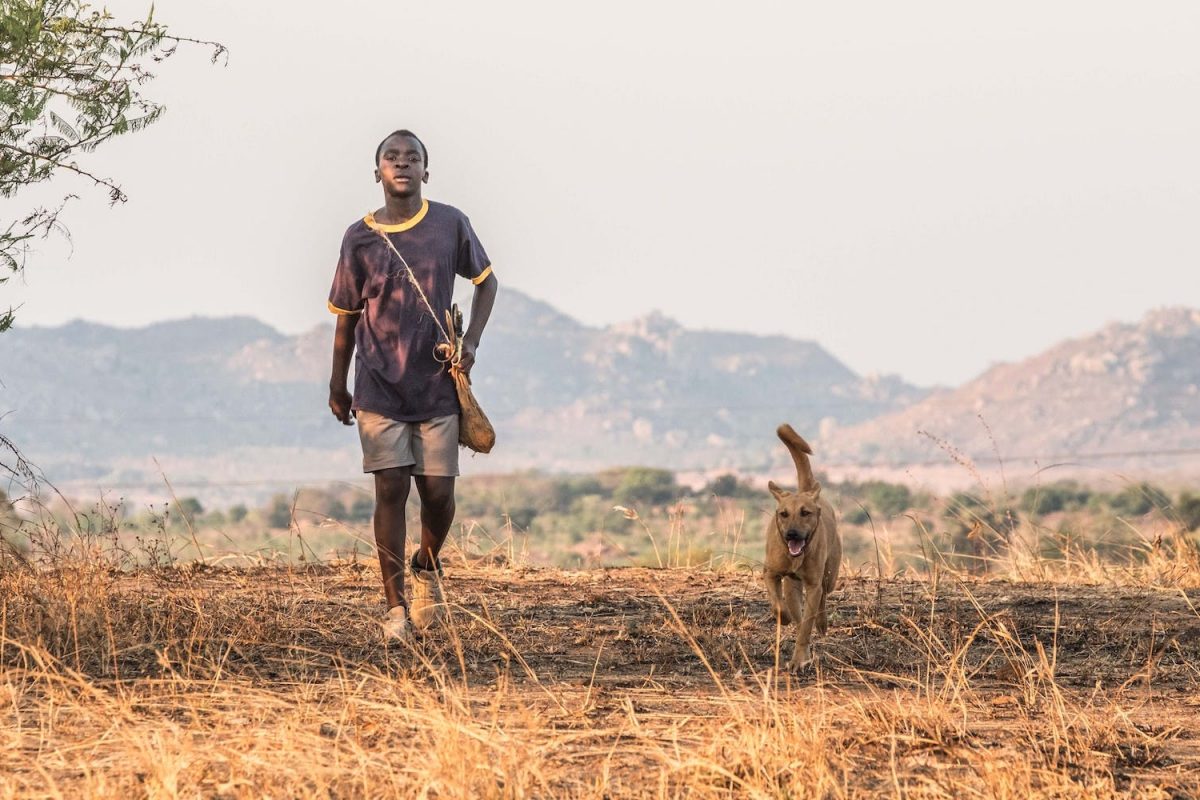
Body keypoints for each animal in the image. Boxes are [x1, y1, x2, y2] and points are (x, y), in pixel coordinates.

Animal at [763, 422, 840, 671]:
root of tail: (807, 489)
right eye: (783, 514)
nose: (791, 534)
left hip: (830, 575)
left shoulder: (814, 585)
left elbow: (807, 626)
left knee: (823, 599)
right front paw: (783, 618)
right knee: (797, 613)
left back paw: (821, 626)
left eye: (805, 513)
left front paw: (798, 660)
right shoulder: (771, 573)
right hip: (792, 586)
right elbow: (780, 607)